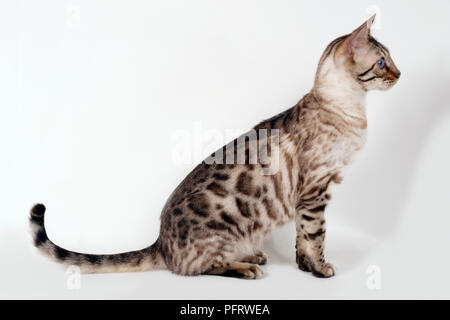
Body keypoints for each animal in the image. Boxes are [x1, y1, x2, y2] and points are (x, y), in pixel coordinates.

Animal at [29, 15, 400, 278]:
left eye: (391, 60)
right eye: (382, 63)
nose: (399, 74)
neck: (353, 109)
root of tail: (161, 243)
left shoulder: (307, 197)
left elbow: (301, 240)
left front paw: (305, 268)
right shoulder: (315, 192)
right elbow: (316, 236)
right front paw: (321, 269)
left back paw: (252, 254)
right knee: (199, 267)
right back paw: (247, 266)